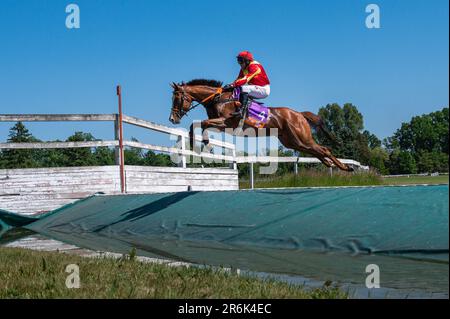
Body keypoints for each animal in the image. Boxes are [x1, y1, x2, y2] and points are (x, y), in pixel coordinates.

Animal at [167, 79, 354, 171]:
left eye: (177, 98)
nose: (172, 119)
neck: (217, 99)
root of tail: (299, 114)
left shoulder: (226, 122)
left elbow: (202, 123)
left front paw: (203, 144)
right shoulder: (220, 125)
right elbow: (196, 125)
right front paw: (200, 143)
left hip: (301, 138)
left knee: (324, 149)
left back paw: (345, 167)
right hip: (292, 141)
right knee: (317, 150)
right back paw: (332, 165)